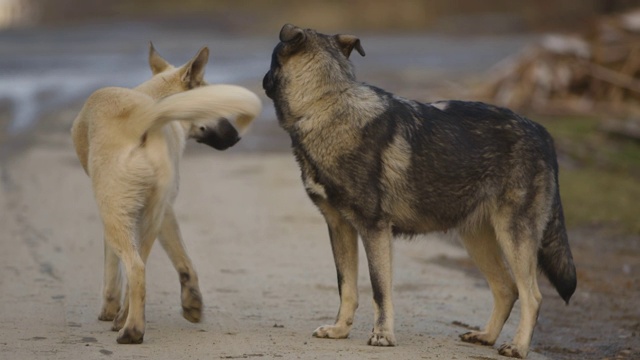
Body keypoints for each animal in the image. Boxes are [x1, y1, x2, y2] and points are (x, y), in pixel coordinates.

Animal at [70, 43, 260, 344]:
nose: (236, 137)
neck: (155, 96)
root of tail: (143, 118)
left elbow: (112, 267)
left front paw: (109, 309)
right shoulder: (167, 211)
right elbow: (183, 261)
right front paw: (192, 303)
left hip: (115, 214)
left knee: (135, 267)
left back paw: (131, 330)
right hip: (150, 217)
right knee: (143, 264)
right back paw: (130, 319)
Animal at [262, 23, 576, 358]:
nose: (263, 80)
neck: (325, 102)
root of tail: (541, 132)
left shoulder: (374, 231)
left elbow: (378, 289)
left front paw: (382, 335)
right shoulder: (340, 228)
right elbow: (346, 287)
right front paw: (339, 330)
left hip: (513, 237)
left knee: (532, 295)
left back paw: (517, 346)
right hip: (478, 239)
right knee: (507, 289)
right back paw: (486, 337)